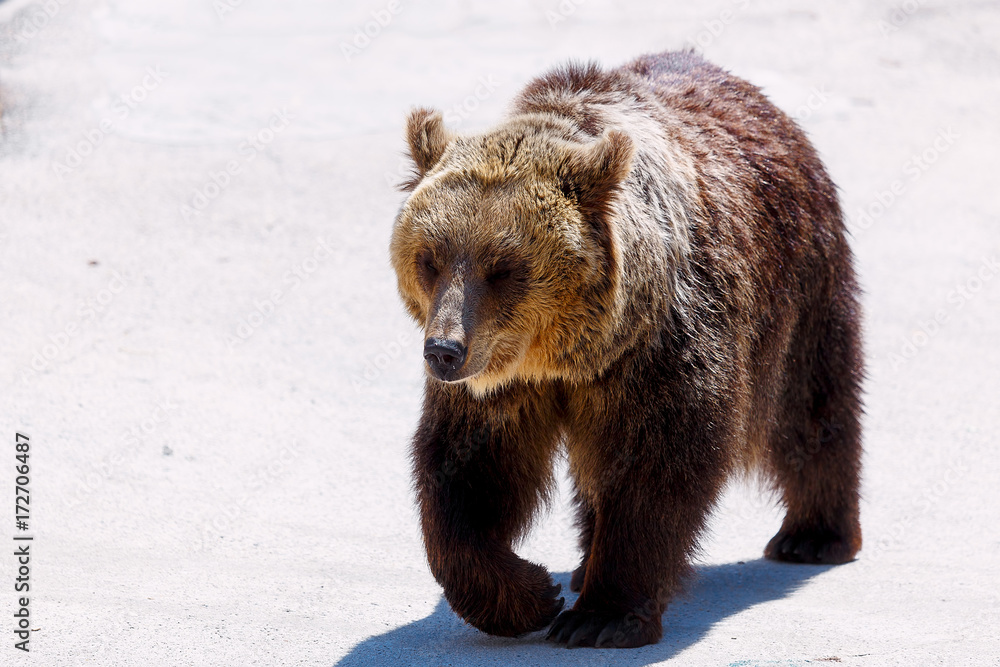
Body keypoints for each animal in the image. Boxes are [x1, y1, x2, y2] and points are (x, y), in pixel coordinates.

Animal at [389, 49, 863, 649]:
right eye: (430, 258)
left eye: (503, 268)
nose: (444, 350)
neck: (569, 354)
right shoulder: (502, 382)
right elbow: (467, 473)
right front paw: (528, 594)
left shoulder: (661, 349)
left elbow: (656, 468)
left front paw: (599, 616)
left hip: (800, 283)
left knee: (810, 406)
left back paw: (814, 535)